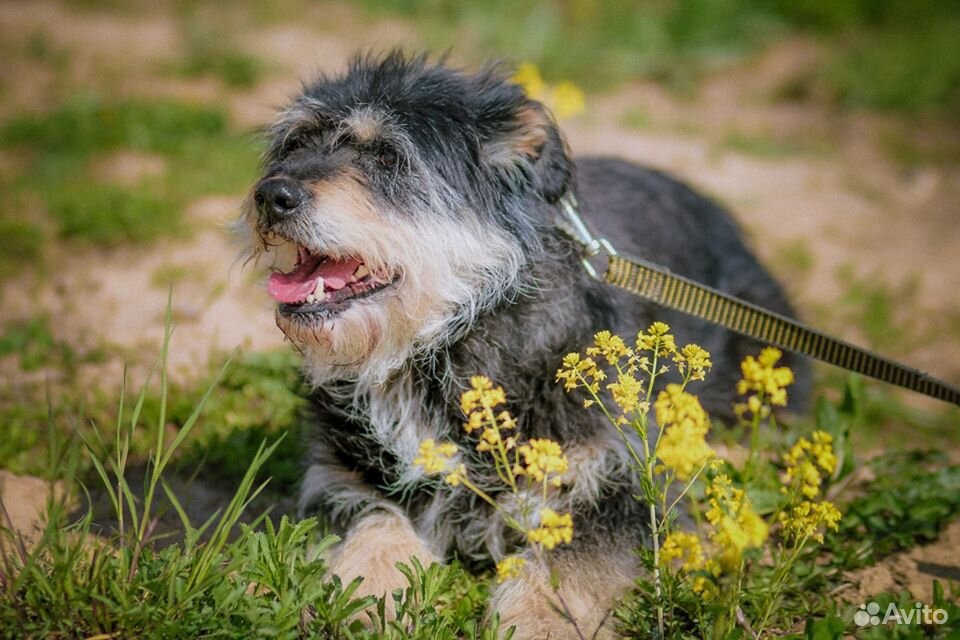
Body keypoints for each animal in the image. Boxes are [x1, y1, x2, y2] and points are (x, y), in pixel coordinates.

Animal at [240, 51, 808, 640]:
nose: (271, 195)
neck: (441, 344)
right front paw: (368, 593)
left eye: (387, 156)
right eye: (294, 144)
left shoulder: (624, 477)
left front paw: (540, 619)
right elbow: (372, 520)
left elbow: (575, 555)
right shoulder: (338, 474)